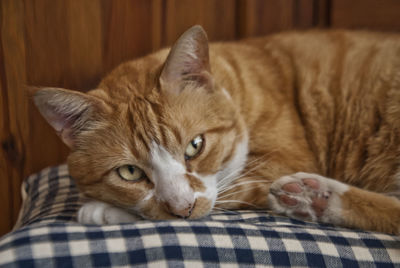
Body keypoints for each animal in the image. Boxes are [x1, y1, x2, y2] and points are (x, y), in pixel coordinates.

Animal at [32, 26, 400, 233]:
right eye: (129, 172)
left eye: (195, 146)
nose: (183, 210)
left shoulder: (279, 164)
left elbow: (225, 195)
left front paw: (102, 210)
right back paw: (315, 199)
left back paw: (317, 194)